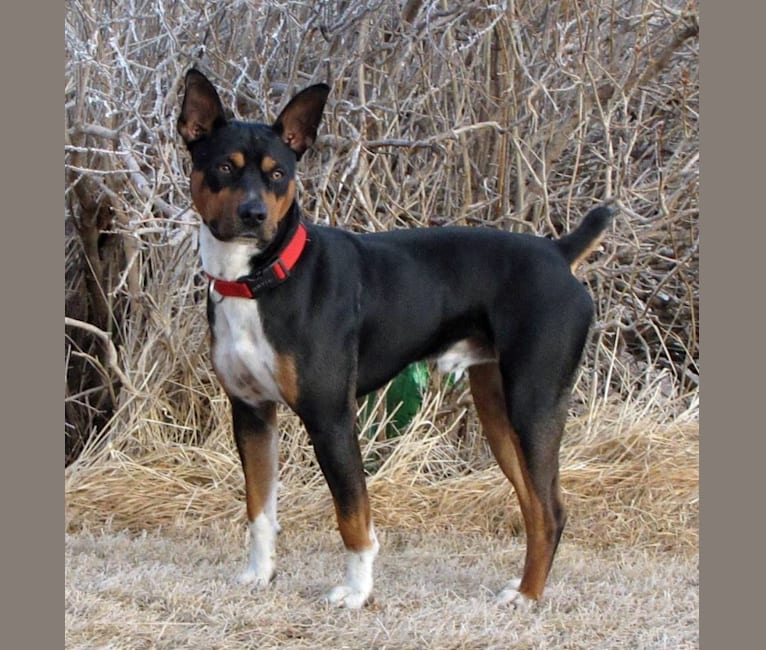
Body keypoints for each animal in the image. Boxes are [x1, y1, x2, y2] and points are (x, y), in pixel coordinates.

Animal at [177, 71, 616, 608]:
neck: (262, 280)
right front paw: (260, 576)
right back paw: (522, 587)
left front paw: (355, 593)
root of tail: (559, 253)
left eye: (277, 173)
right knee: (535, 507)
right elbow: (259, 510)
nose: (254, 214)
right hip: (499, 414)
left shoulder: (331, 418)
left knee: (551, 510)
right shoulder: (252, 413)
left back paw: (528, 598)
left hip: (534, 406)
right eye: (224, 166)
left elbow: (353, 517)